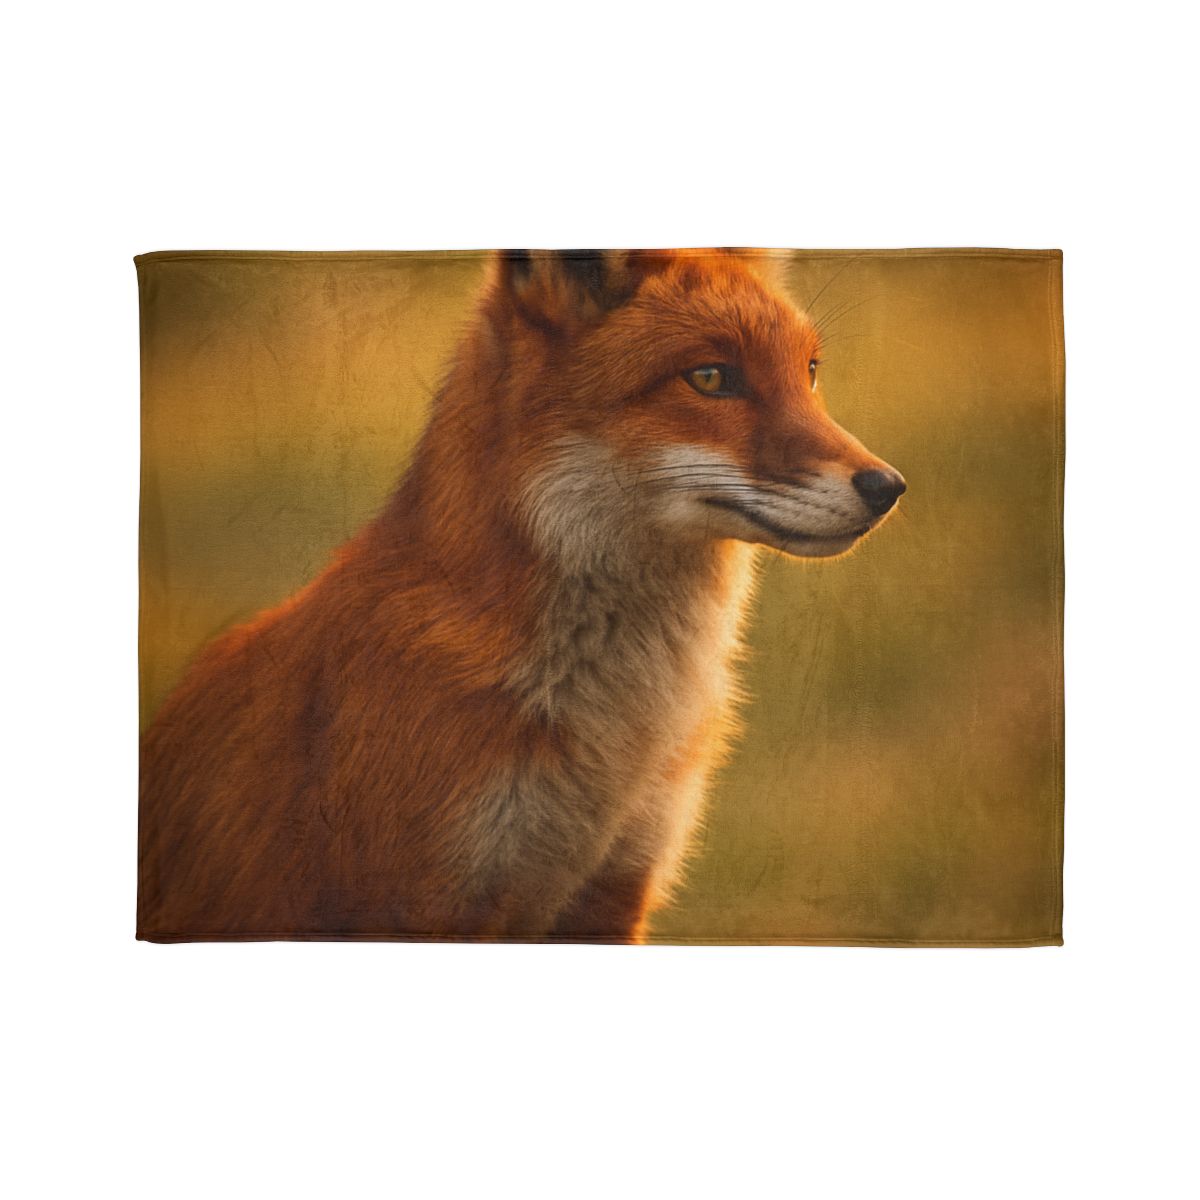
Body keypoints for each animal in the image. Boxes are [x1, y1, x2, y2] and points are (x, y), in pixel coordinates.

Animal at [138, 248, 906, 943]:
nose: (888, 487)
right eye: (711, 377)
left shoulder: (614, 890)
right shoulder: (421, 902)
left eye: (810, 371)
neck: (615, 733)